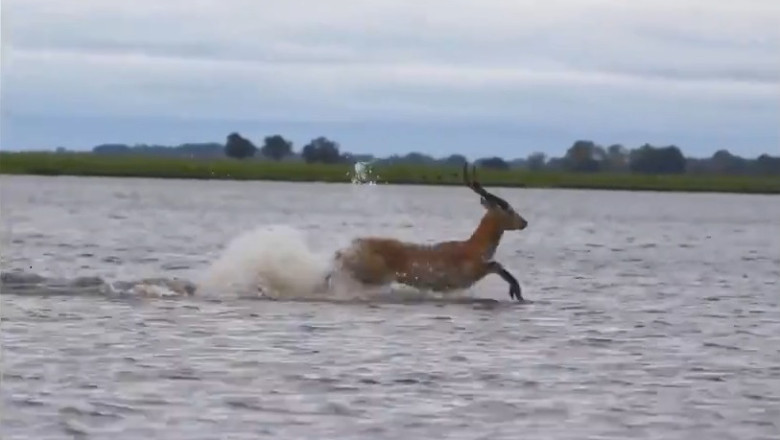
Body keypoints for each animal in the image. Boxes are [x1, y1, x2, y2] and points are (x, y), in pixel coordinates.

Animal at [326, 162, 529, 301]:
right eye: (508, 209)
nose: (524, 222)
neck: (473, 247)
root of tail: (353, 245)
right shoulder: (473, 273)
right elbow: (498, 265)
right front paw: (517, 293)